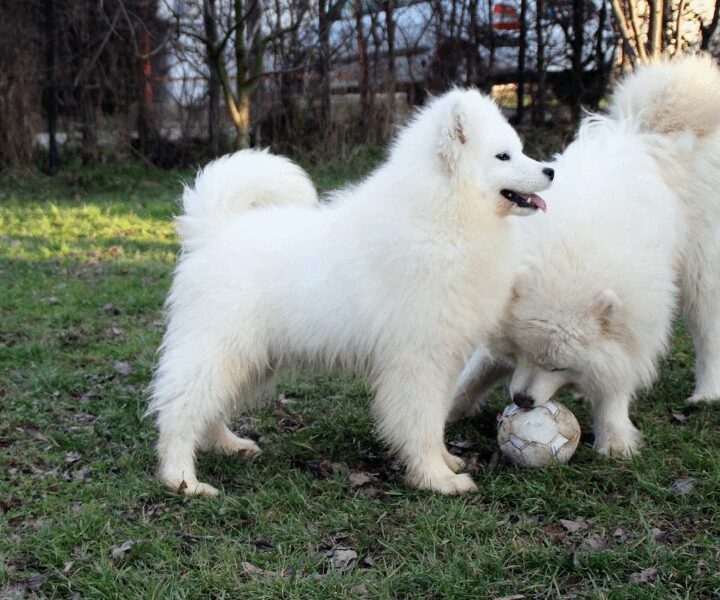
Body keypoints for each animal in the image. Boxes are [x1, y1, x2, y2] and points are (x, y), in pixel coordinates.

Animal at [146, 89, 552, 500]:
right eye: (503, 156)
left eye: (520, 150)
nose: (550, 170)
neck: (444, 214)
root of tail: (213, 230)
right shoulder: (418, 359)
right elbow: (421, 422)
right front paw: (436, 479)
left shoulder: (443, 358)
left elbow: (436, 417)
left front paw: (446, 461)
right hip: (219, 351)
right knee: (180, 410)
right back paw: (183, 479)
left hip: (250, 359)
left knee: (210, 409)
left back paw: (229, 445)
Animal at [452, 55, 720, 454]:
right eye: (521, 353)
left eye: (558, 367)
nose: (522, 401)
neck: (571, 263)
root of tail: (652, 133)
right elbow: (475, 372)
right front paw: (450, 409)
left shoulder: (632, 328)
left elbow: (615, 383)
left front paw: (615, 440)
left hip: (701, 273)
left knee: (707, 335)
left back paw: (707, 393)